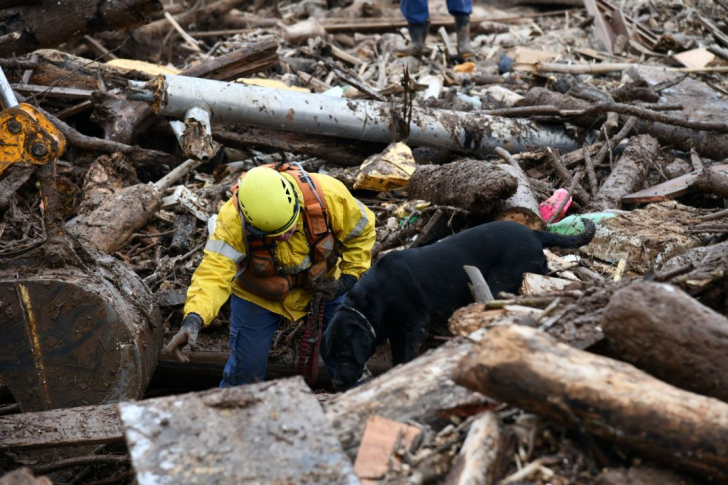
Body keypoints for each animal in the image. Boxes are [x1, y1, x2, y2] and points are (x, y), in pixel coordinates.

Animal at [324, 219, 596, 390]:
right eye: (331, 356)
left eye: (345, 355)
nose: (336, 384)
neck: (375, 298)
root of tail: (533, 233)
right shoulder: (396, 330)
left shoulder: (416, 325)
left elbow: (408, 355)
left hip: (497, 282)